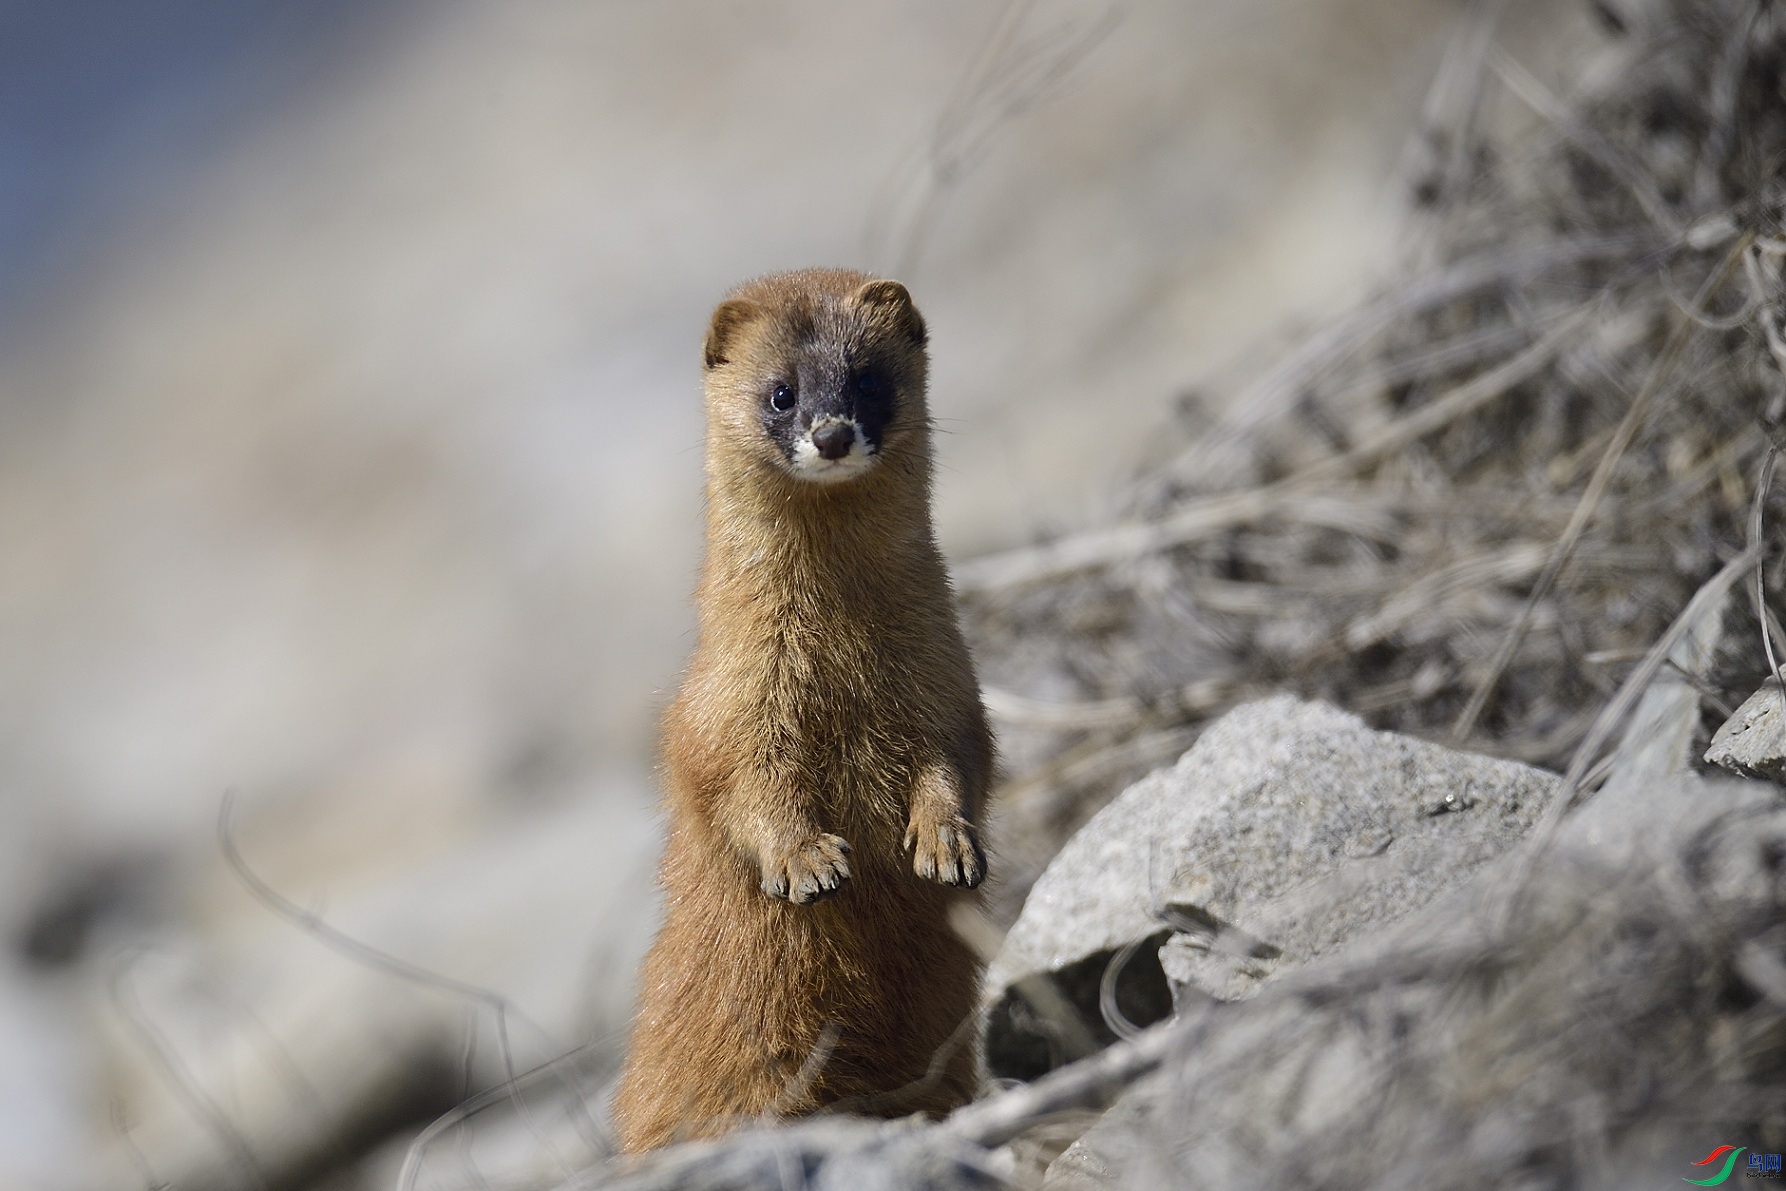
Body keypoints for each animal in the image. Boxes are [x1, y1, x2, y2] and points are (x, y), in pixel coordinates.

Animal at [617, 269, 1000, 1157]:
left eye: (867, 380)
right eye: (781, 392)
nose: (830, 433)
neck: (843, 666)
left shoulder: (948, 682)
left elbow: (957, 760)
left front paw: (945, 843)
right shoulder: (728, 706)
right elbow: (745, 789)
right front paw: (808, 862)